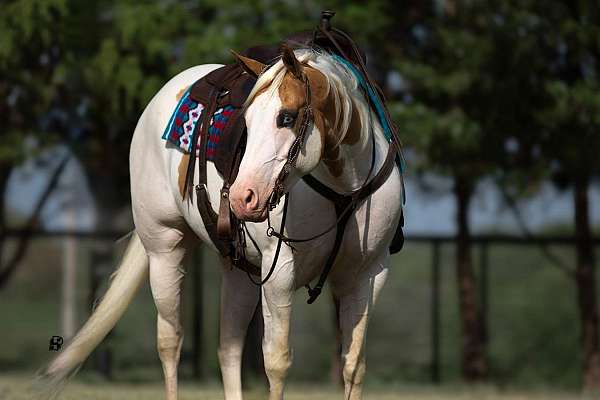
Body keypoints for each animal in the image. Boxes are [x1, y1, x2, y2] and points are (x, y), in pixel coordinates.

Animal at [41, 45, 404, 398]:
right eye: (248, 121)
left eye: (286, 117)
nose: (243, 197)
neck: (345, 189)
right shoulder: (280, 273)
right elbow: (276, 362)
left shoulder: (367, 275)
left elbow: (353, 366)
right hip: (164, 248)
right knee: (170, 342)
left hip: (240, 270)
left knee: (228, 349)